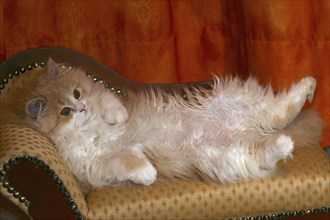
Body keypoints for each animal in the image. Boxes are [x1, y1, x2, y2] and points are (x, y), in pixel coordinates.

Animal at [13, 59, 324, 193]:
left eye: (77, 93)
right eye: (65, 111)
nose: (81, 108)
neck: (90, 129)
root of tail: (245, 129)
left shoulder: (105, 96)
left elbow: (110, 105)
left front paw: (118, 119)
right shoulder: (94, 165)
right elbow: (128, 162)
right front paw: (148, 174)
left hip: (239, 104)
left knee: (279, 112)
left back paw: (309, 85)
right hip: (227, 155)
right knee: (269, 141)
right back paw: (284, 142)